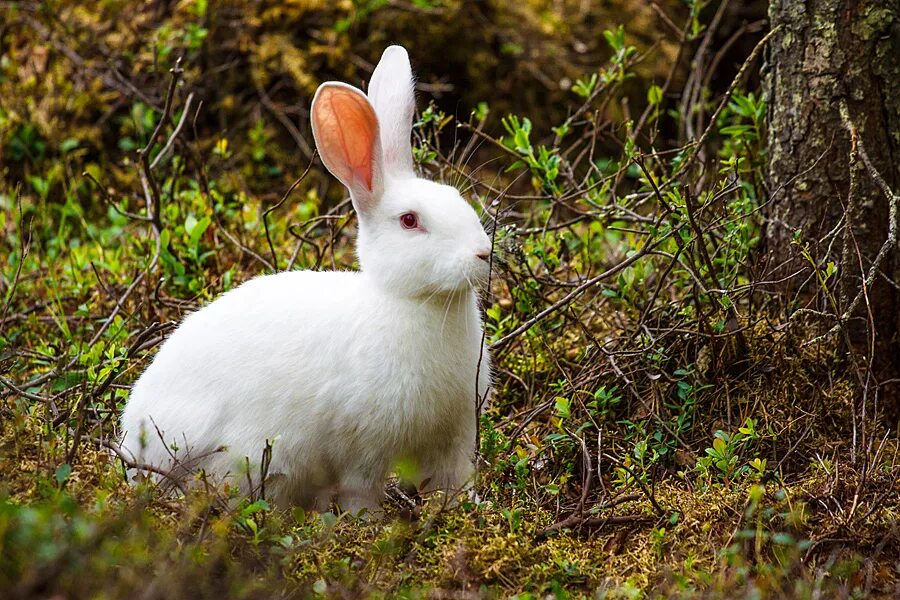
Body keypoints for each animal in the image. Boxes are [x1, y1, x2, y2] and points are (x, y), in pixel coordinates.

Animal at [119, 45, 492, 510]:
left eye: (456, 197)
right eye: (410, 221)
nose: (484, 252)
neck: (413, 301)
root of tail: (132, 449)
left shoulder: (455, 438)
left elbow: (454, 481)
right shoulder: (362, 450)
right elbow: (360, 492)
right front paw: (368, 522)